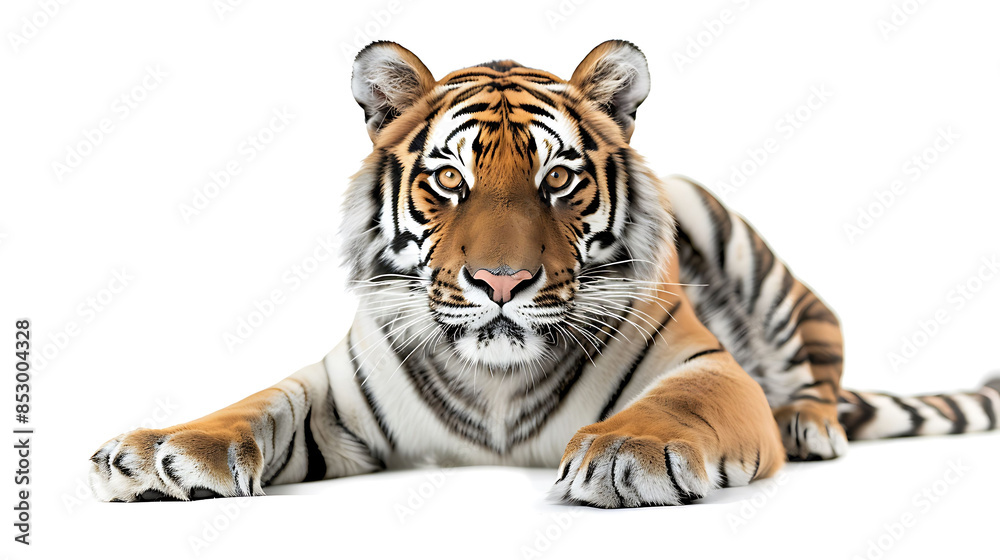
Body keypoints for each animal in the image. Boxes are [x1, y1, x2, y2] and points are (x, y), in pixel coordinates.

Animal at [89, 40, 1000, 508]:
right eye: (447, 179)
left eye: (558, 179)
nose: (501, 283)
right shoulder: (341, 392)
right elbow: (257, 402)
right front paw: (160, 450)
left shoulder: (708, 367)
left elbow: (680, 403)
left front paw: (629, 451)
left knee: (820, 348)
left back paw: (809, 424)